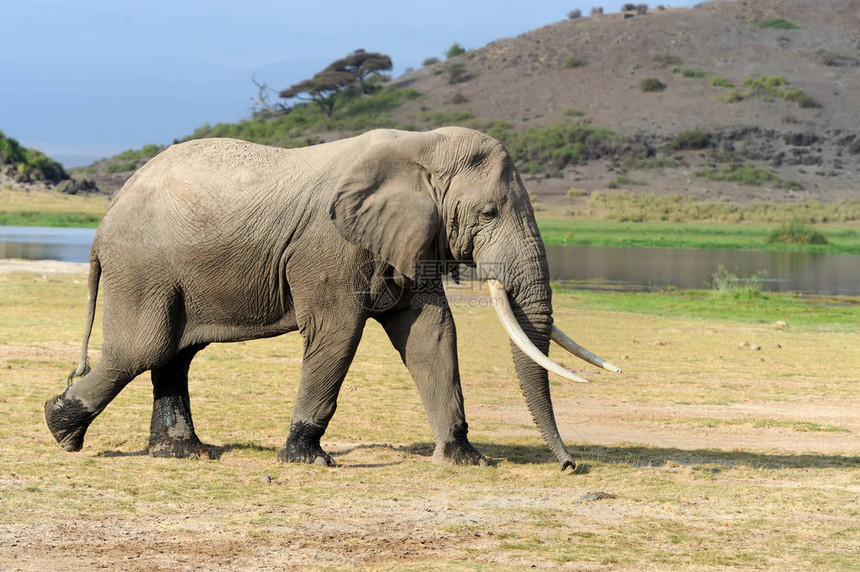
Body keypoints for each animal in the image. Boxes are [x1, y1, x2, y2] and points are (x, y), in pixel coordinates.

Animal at [43, 127, 620, 472]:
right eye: (488, 214)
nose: (570, 465)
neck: (420, 146)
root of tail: (103, 221)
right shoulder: (330, 246)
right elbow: (338, 333)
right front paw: (306, 460)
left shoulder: (410, 238)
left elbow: (432, 334)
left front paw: (465, 459)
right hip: (144, 268)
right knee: (142, 349)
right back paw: (60, 427)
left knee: (173, 354)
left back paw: (185, 454)